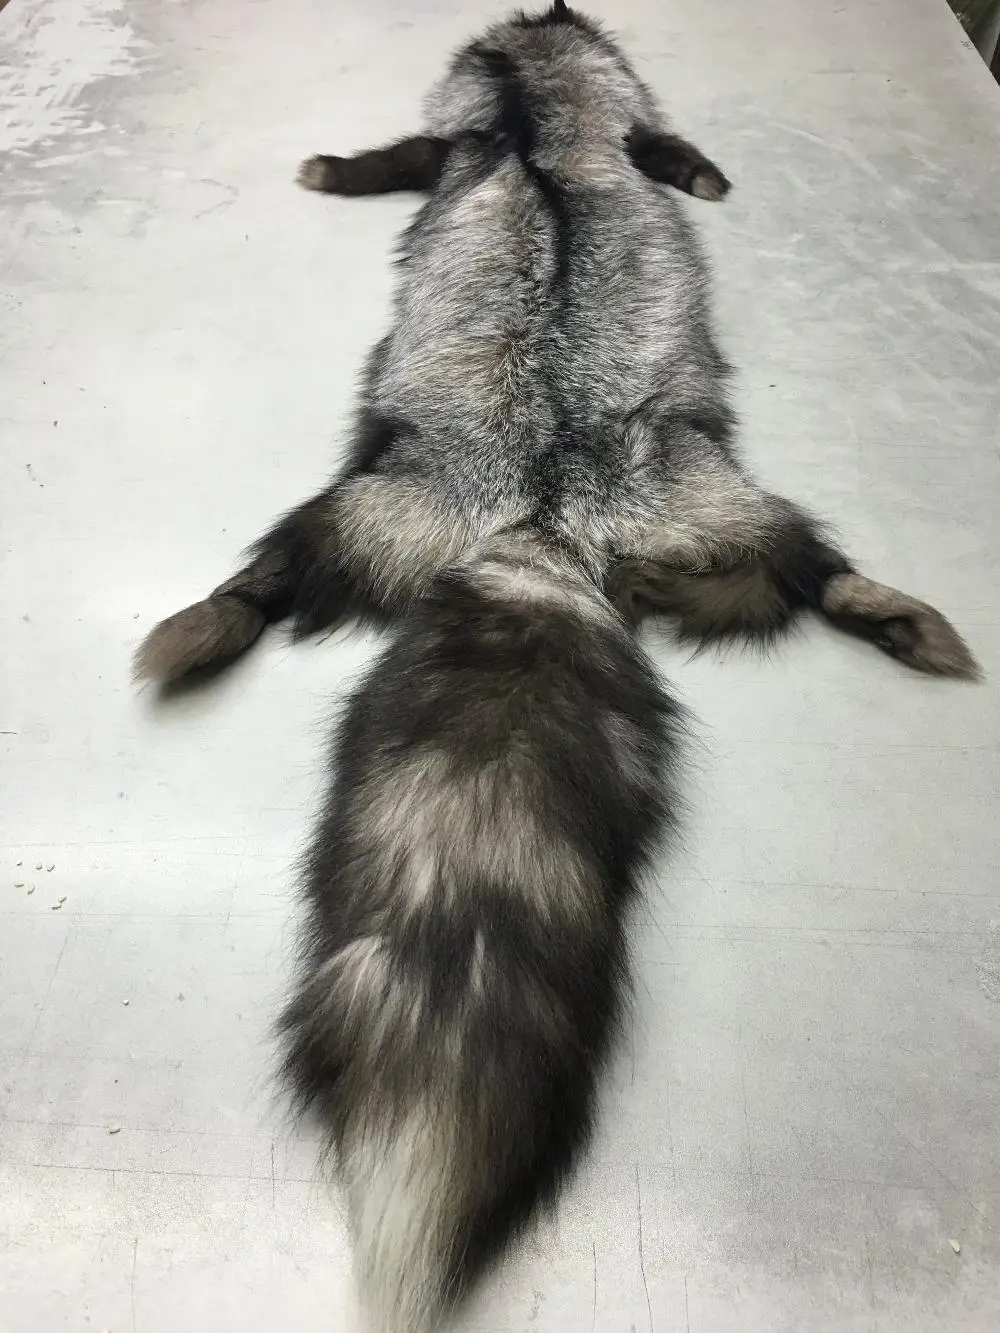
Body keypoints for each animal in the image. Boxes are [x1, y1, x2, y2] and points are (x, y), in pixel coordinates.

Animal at [134, 3, 979, 1330]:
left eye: (550, 24)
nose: (548, 13)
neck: (541, 112)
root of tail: (543, 517)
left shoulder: (472, 138)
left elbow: (410, 158)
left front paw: (337, 168)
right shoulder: (568, 133)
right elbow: (661, 153)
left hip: (391, 504)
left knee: (264, 576)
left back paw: (203, 617)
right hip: (716, 510)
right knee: (811, 572)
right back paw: (893, 616)